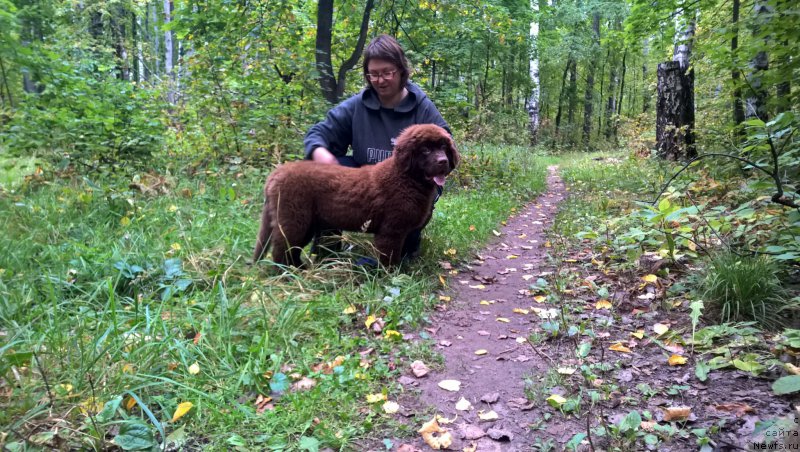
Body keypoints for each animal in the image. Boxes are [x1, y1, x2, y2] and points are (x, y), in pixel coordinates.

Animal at [253, 123, 460, 266]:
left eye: (443, 147)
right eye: (425, 150)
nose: (443, 161)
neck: (406, 178)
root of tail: (276, 174)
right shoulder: (391, 230)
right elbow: (389, 257)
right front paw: (392, 277)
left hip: (306, 222)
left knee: (292, 250)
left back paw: (299, 270)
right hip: (293, 219)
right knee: (281, 249)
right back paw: (284, 276)